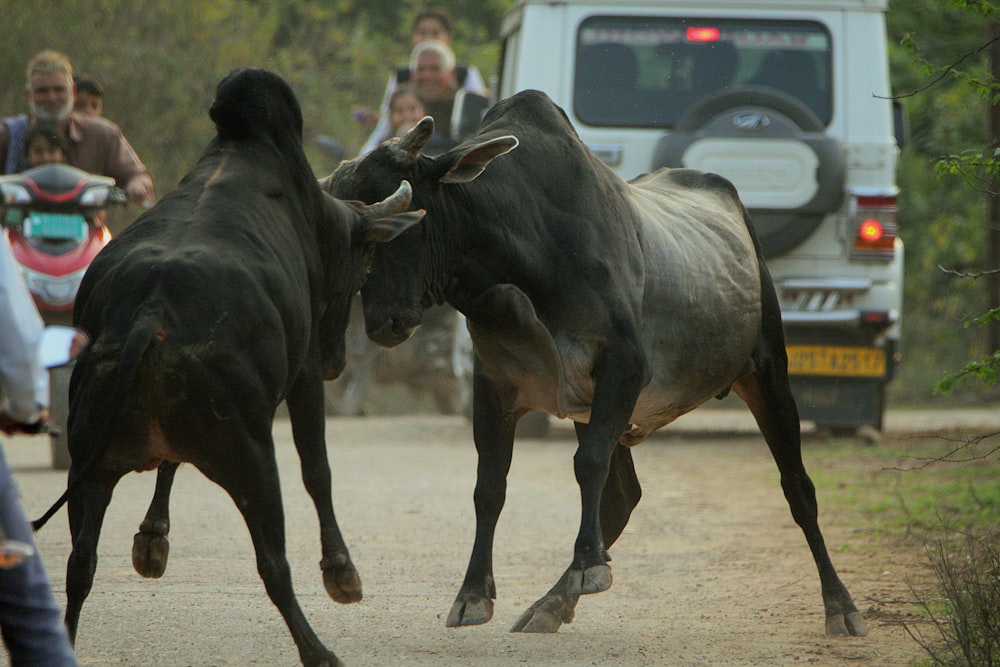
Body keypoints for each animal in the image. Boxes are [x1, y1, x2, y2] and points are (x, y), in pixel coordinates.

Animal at [32, 69, 422, 667]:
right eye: (364, 263)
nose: (338, 361)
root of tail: (148, 315)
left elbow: (170, 466)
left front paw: (152, 540)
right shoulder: (303, 373)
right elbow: (318, 469)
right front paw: (341, 572)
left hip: (90, 463)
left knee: (80, 564)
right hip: (251, 455)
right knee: (273, 564)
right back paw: (319, 650)